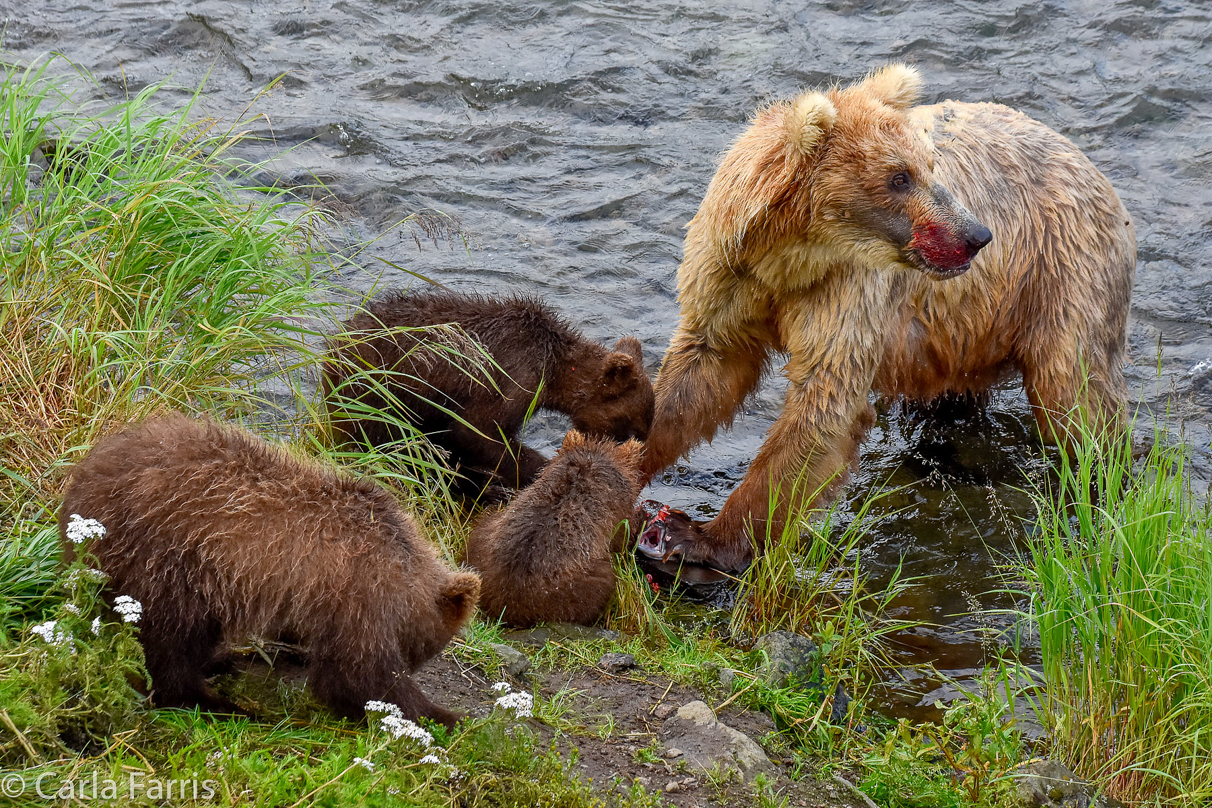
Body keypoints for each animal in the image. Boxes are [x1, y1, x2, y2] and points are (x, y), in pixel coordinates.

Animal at [644, 63, 1134, 571]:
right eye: (900, 177)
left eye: (929, 167)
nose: (976, 235)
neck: (788, 262)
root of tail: (1083, 158)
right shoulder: (728, 280)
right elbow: (698, 376)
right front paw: (630, 453)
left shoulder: (847, 293)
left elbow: (821, 409)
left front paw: (697, 538)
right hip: (964, 327)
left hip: (1063, 270)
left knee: (1075, 393)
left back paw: (1095, 483)